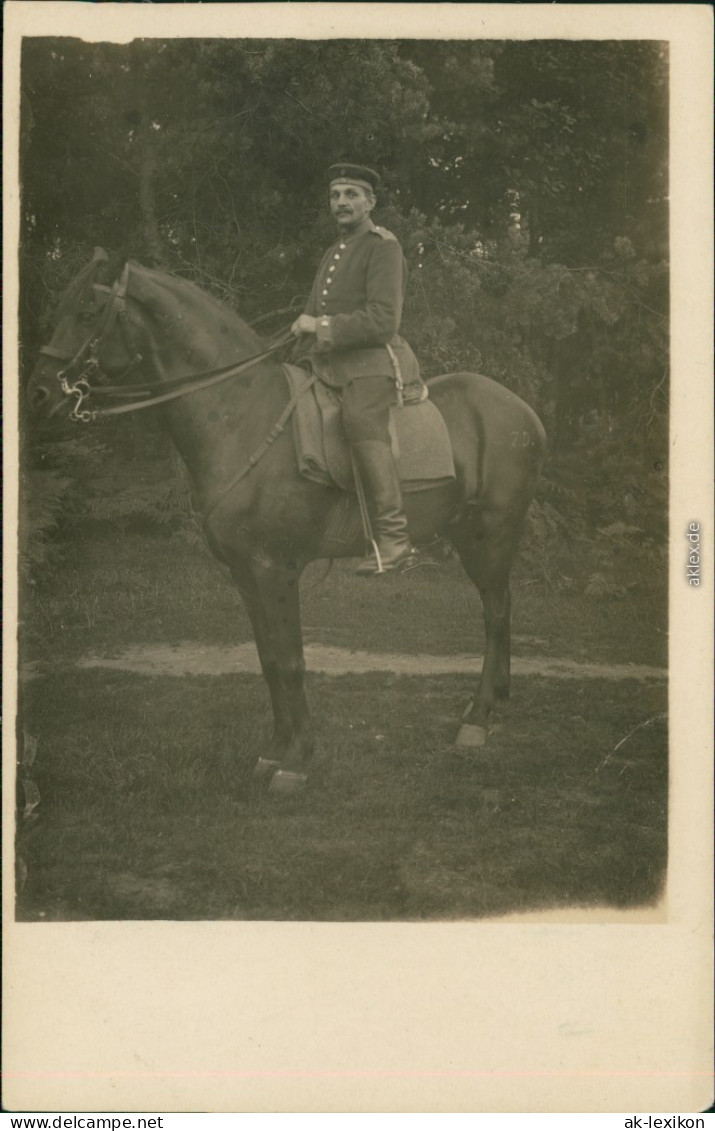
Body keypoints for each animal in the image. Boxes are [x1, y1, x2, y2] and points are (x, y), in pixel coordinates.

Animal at [26, 252, 540, 791]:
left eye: (87, 312)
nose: (37, 393)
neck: (241, 414)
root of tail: (523, 410)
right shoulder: (245, 574)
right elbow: (269, 660)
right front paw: (274, 750)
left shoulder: (276, 569)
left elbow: (292, 660)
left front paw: (297, 759)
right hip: (470, 536)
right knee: (500, 608)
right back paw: (495, 698)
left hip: (492, 535)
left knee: (495, 613)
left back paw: (477, 717)